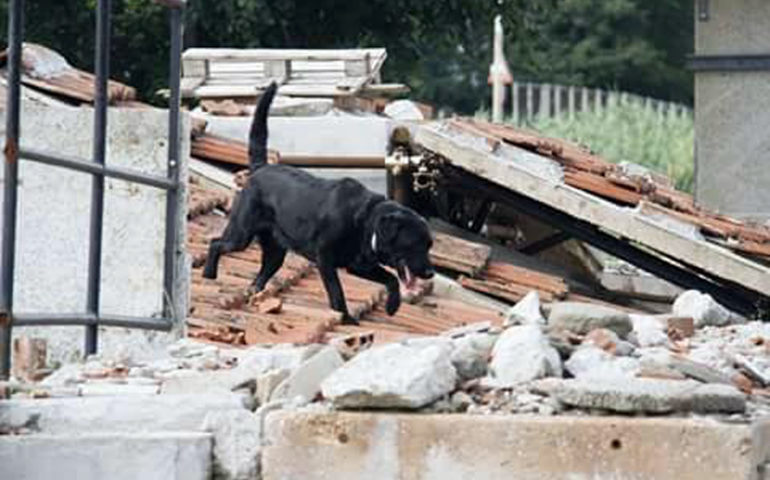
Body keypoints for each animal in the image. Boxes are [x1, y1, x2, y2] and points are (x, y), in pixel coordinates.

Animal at [202, 82, 432, 324]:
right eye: (414, 243)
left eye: (429, 245)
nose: (430, 273)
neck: (365, 220)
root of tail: (261, 167)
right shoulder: (325, 259)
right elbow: (337, 292)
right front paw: (345, 317)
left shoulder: (359, 264)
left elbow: (391, 279)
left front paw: (392, 306)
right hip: (241, 234)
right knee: (216, 244)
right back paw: (209, 275)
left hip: (275, 252)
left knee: (261, 274)